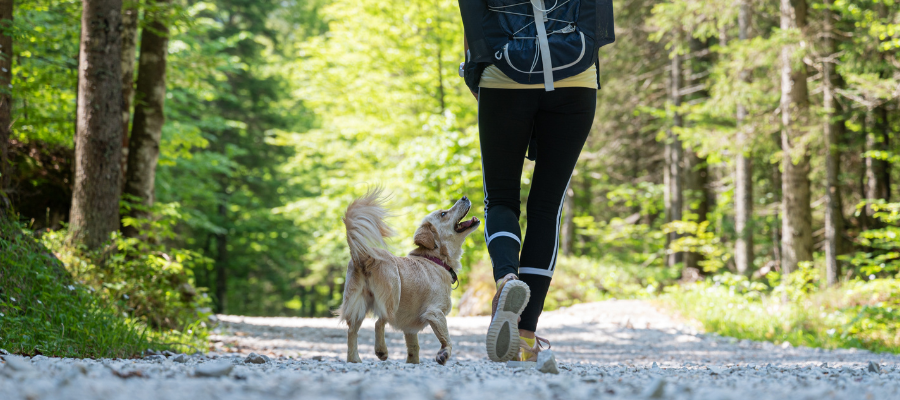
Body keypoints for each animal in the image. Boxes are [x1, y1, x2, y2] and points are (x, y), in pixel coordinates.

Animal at [336, 189, 478, 364]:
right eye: (443, 214)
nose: (464, 197)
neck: (435, 259)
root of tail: (364, 256)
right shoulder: (435, 312)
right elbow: (447, 339)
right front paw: (443, 354)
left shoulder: (410, 329)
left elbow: (414, 348)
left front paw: (413, 362)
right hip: (393, 295)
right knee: (379, 322)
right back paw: (381, 350)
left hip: (357, 304)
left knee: (352, 331)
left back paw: (354, 359)